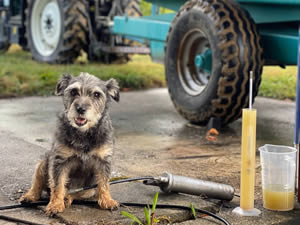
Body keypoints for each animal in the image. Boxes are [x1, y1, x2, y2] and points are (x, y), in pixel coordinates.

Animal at [19, 73, 120, 215]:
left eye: (96, 94)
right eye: (73, 91)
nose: (81, 109)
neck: (84, 134)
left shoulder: (103, 161)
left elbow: (104, 183)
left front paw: (107, 200)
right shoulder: (59, 161)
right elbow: (58, 184)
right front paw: (55, 204)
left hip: (88, 189)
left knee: (76, 194)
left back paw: (67, 198)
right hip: (44, 162)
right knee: (38, 183)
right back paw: (30, 196)